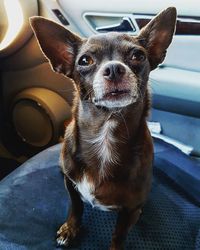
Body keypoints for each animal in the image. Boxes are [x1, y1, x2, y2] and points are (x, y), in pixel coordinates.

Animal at [30, 6, 177, 249]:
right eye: (85, 60)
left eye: (138, 56)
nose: (114, 69)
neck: (105, 132)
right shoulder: (71, 186)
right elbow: (76, 207)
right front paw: (70, 229)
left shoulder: (129, 210)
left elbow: (118, 235)